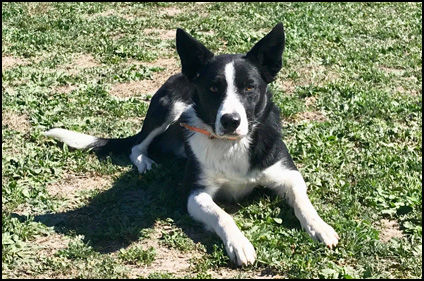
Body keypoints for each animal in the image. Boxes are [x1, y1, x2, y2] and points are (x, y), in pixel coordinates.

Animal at [44, 23, 340, 264]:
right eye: (213, 88)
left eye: (249, 87)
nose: (231, 121)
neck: (231, 144)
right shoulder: (195, 194)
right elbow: (222, 215)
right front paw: (239, 243)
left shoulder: (287, 173)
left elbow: (302, 200)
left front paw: (320, 227)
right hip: (170, 106)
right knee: (137, 146)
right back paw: (144, 162)